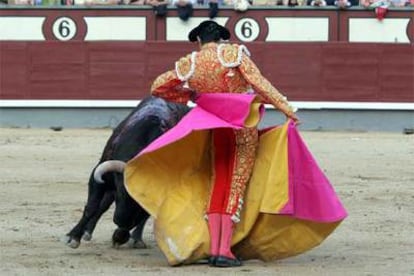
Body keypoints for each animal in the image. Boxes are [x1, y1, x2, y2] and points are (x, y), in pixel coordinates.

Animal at [65, 96, 190, 249]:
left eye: (143, 200)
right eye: (122, 191)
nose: (120, 220)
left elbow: (141, 217)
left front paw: (120, 236)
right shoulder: (99, 176)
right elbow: (92, 206)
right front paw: (73, 237)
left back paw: (136, 238)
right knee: (104, 204)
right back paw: (88, 232)